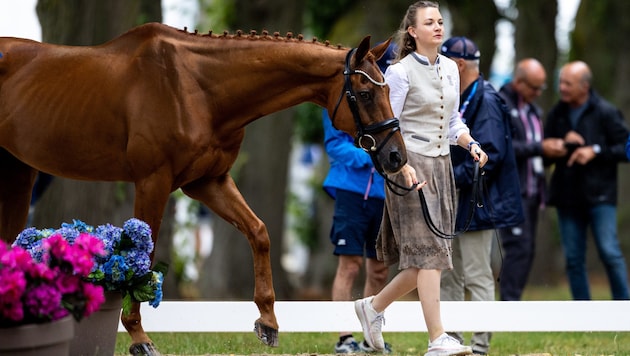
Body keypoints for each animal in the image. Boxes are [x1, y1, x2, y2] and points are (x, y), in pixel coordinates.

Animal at [0, 23, 408, 354]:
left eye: (388, 89)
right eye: (365, 93)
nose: (395, 157)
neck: (196, 88)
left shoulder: (208, 182)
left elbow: (259, 232)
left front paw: (268, 322)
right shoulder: (153, 181)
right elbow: (145, 254)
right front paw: (139, 338)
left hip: (19, 174)